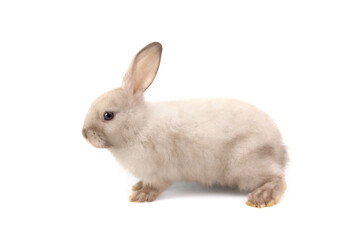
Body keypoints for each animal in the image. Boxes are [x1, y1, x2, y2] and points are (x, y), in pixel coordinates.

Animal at [81, 42, 286, 207]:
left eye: (108, 116)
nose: (84, 133)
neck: (139, 126)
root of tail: (279, 148)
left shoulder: (158, 171)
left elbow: (155, 186)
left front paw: (141, 196)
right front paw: (138, 186)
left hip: (244, 166)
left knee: (278, 179)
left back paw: (261, 198)